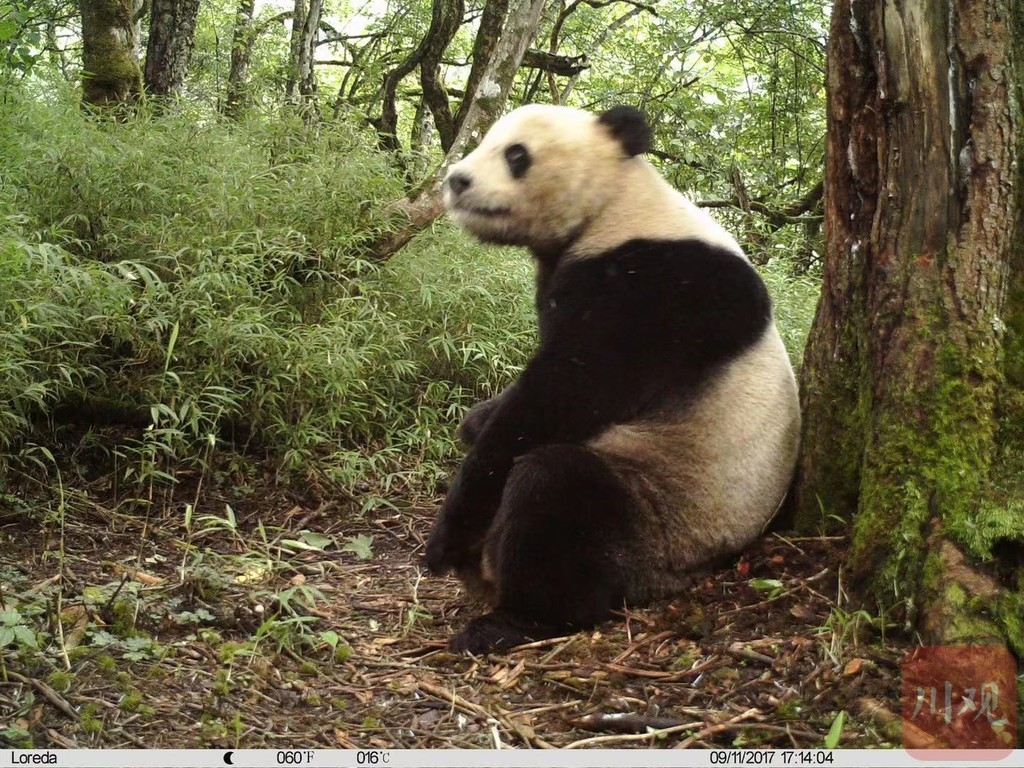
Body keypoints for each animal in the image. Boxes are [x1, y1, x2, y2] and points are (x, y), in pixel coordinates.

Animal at [423, 103, 798, 655]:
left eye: (516, 154)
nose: (457, 180)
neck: (616, 207)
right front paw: (475, 420)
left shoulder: (658, 292)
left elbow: (563, 397)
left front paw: (446, 537)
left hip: (664, 517)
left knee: (559, 489)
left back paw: (516, 619)